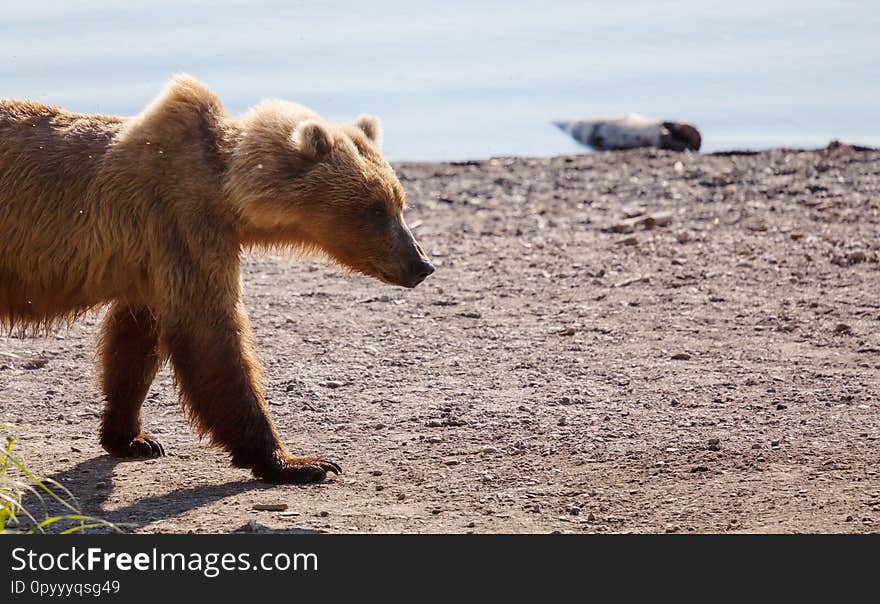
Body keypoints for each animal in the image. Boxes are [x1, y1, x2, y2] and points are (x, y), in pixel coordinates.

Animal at [0, 75, 434, 484]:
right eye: (375, 208)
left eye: (399, 203)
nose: (421, 264)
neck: (229, 193)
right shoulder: (182, 224)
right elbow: (212, 339)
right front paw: (299, 462)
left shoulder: (151, 261)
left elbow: (134, 341)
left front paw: (132, 437)